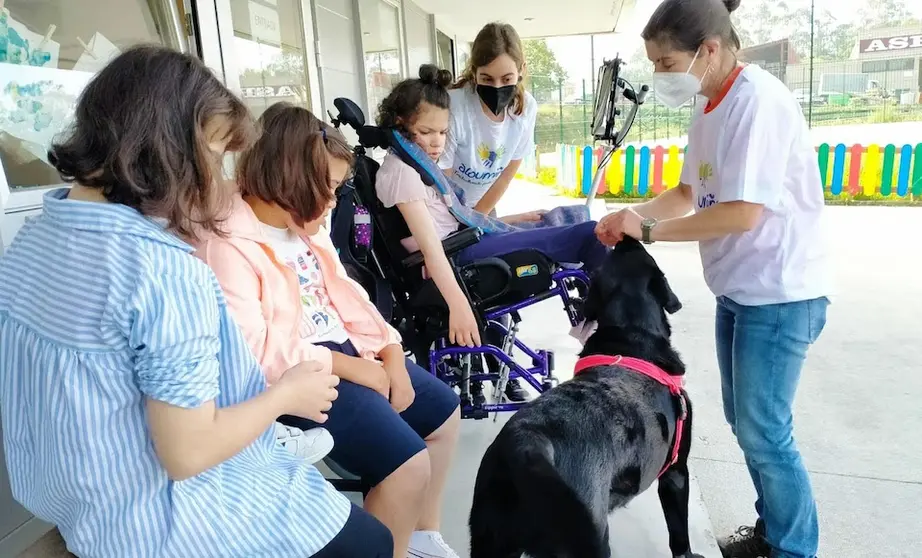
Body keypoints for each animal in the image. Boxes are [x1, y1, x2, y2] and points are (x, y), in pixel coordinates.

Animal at [470, 238, 700, 558]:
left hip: (490, 540)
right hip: (590, 538)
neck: (632, 334)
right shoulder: (676, 473)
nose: (626, 238)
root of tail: (526, 444)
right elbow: (679, 533)